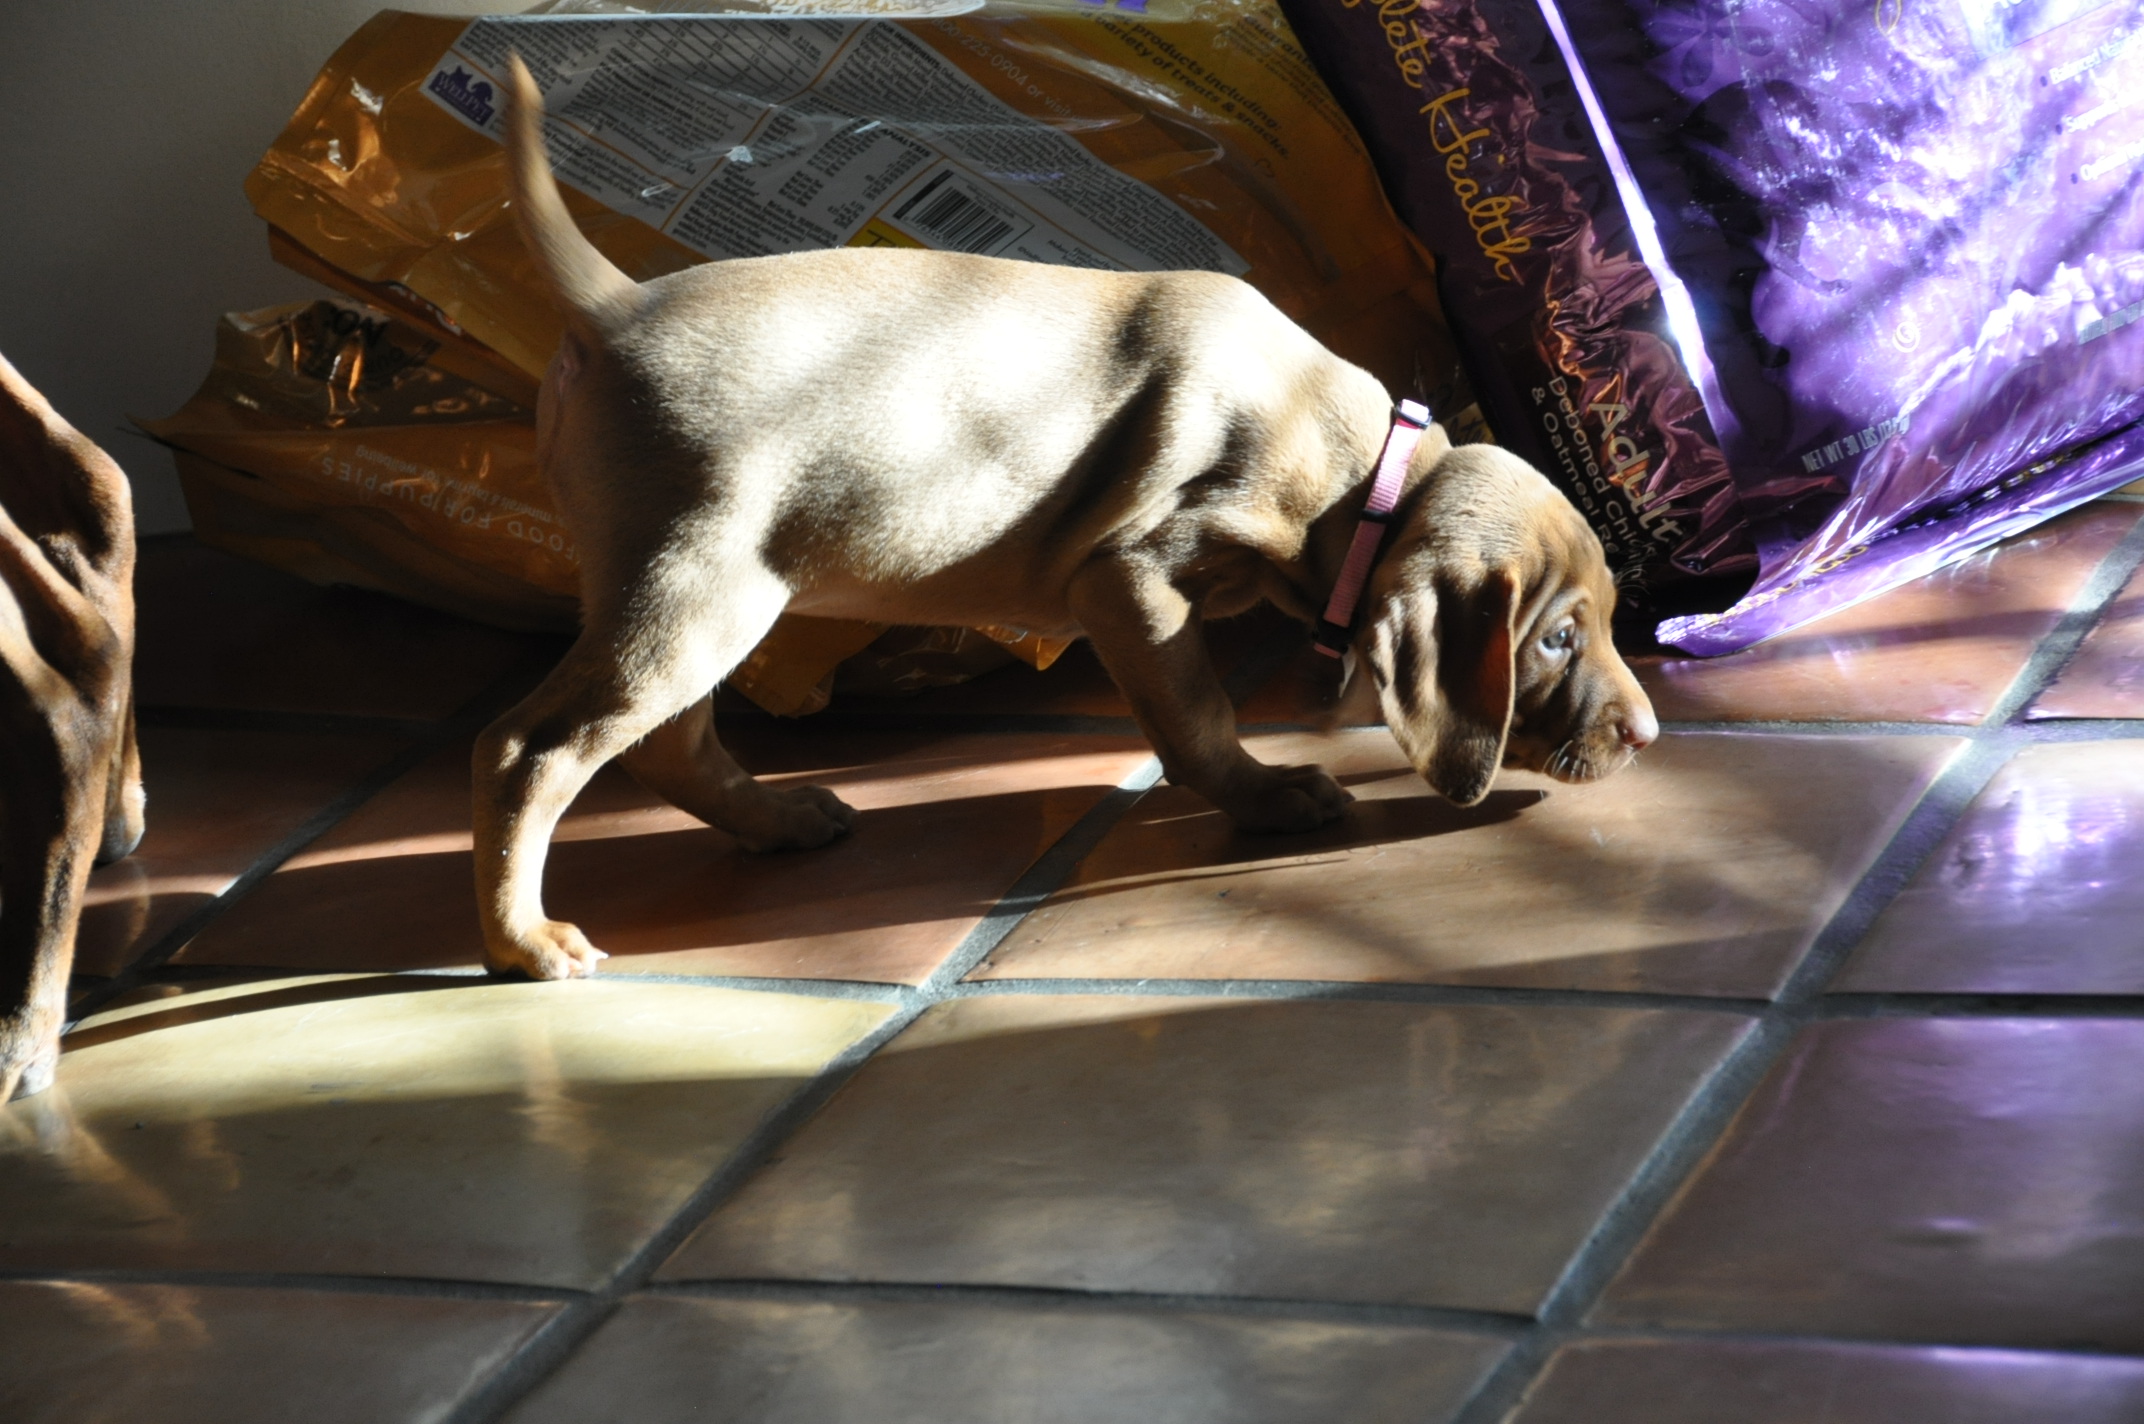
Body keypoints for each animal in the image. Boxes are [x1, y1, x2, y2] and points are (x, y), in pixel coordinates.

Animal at [472, 56, 1657, 980]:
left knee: (667, 744)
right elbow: (1198, 717)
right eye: (1557, 638)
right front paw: (1266, 797)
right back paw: (524, 943)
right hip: (697, 590)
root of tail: (616, 304)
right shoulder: (1130, 581)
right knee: (529, 749)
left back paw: (780, 821)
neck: (1354, 468)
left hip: (707, 599)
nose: (1647, 735)